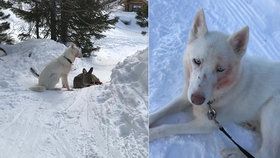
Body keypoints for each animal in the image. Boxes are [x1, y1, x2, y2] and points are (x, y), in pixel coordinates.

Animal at [150, 8, 280, 158]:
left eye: (220, 69)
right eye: (197, 61)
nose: (197, 99)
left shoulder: (205, 125)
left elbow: (167, 128)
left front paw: (151, 133)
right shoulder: (186, 96)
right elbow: (161, 112)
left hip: (272, 108)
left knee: (266, 153)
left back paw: (232, 152)